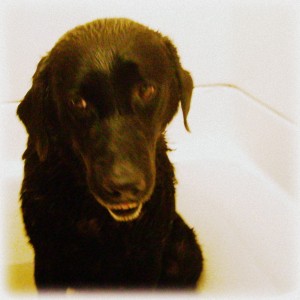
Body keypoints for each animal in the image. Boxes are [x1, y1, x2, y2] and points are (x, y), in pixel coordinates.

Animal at [17, 18, 204, 290]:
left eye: (145, 90)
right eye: (78, 102)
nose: (123, 185)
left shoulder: (146, 261)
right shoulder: (47, 260)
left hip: (186, 251)